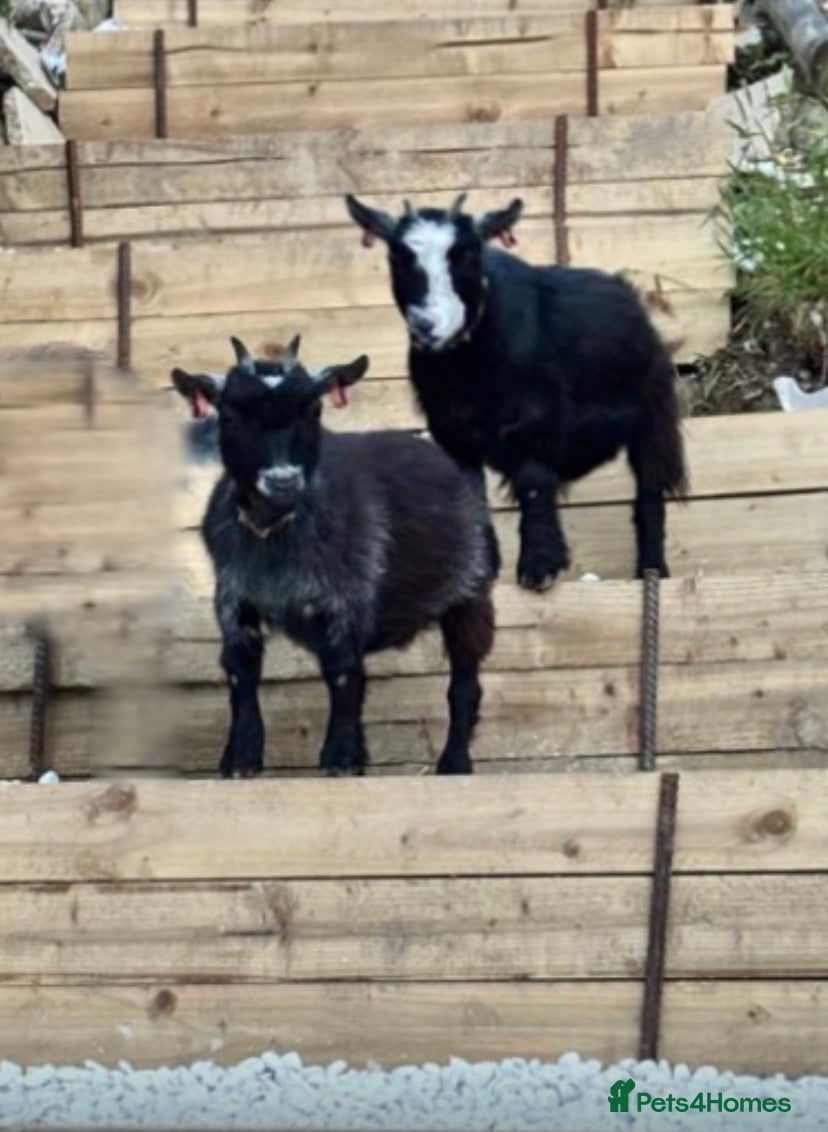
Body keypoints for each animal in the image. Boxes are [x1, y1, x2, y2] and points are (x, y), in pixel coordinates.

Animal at [171, 335, 499, 778]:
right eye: (230, 416)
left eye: (314, 409)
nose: (283, 480)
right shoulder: (234, 598)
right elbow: (241, 672)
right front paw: (240, 760)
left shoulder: (347, 596)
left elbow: (343, 672)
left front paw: (342, 758)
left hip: (471, 592)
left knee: (464, 683)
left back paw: (454, 762)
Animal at [345, 193, 688, 591]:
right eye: (397, 257)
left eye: (469, 255)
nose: (427, 323)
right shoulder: (451, 430)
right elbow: (471, 492)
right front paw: (480, 570)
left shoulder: (537, 417)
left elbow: (534, 482)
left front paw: (540, 566)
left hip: (652, 416)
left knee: (650, 492)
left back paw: (652, 570)